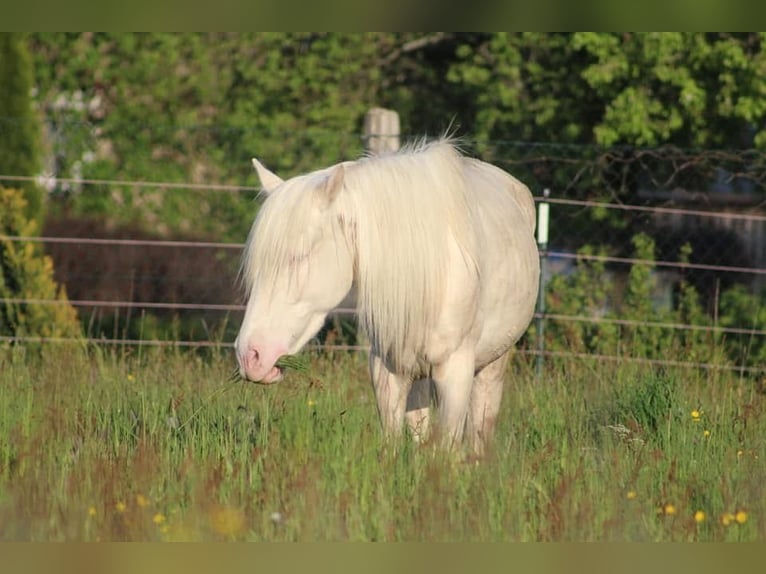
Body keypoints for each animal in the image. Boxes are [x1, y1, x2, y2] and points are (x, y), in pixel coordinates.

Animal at [234, 140, 540, 454]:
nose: (250, 357)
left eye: (299, 256)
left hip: (492, 365)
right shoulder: (387, 370)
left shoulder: (455, 374)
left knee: (480, 427)